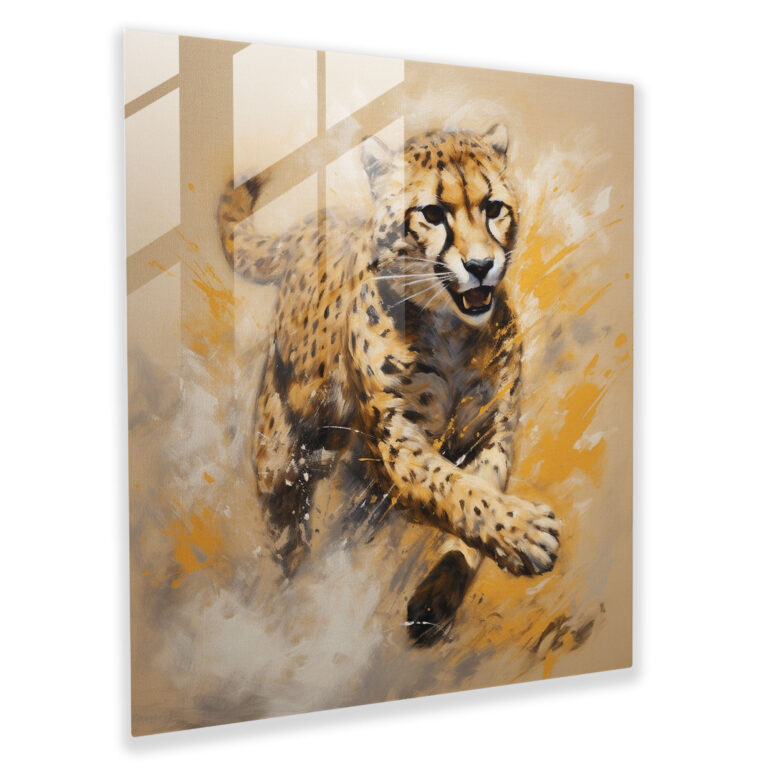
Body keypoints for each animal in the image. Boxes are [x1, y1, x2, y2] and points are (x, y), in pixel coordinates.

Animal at [217, 124, 560, 646]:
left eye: (493, 207)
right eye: (433, 213)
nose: (482, 266)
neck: (452, 331)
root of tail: (317, 223)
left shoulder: (491, 433)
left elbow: (475, 493)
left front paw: (438, 594)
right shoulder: (398, 440)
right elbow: (454, 488)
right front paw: (526, 533)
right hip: (278, 458)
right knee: (289, 531)